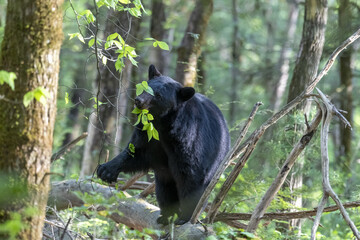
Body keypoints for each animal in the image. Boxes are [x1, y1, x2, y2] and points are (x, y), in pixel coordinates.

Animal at [97, 65, 229, 225]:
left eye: (158, 95)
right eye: (145, 87)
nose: (138, 100)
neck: (163, 125)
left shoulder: (190, 140)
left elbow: (193, 175)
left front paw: (186, 216)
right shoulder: (149, 135)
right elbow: (136, 152)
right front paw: (106, 169)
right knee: (165, 187)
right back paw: (166, 215)